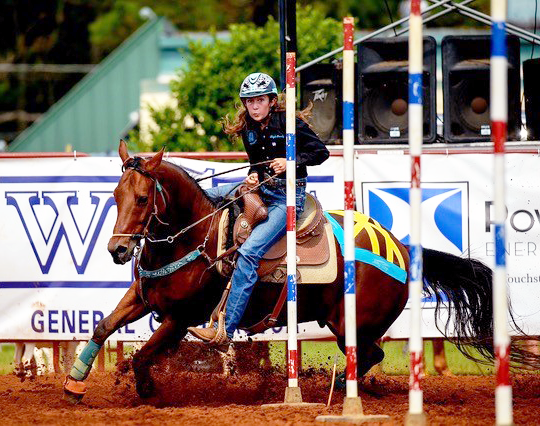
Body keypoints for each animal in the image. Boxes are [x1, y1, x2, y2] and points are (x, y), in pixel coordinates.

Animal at [62, 141, 528, 402]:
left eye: (143, 198)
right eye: (115, 195)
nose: (118, 249)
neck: (192, 237)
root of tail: (402, 248)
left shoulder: (182, 318)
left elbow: (143, 356)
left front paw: (146, 390)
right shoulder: (143, 298)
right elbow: (103, 327)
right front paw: (75, 382)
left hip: (350, 322)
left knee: (369, 355)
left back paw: (332, 392)